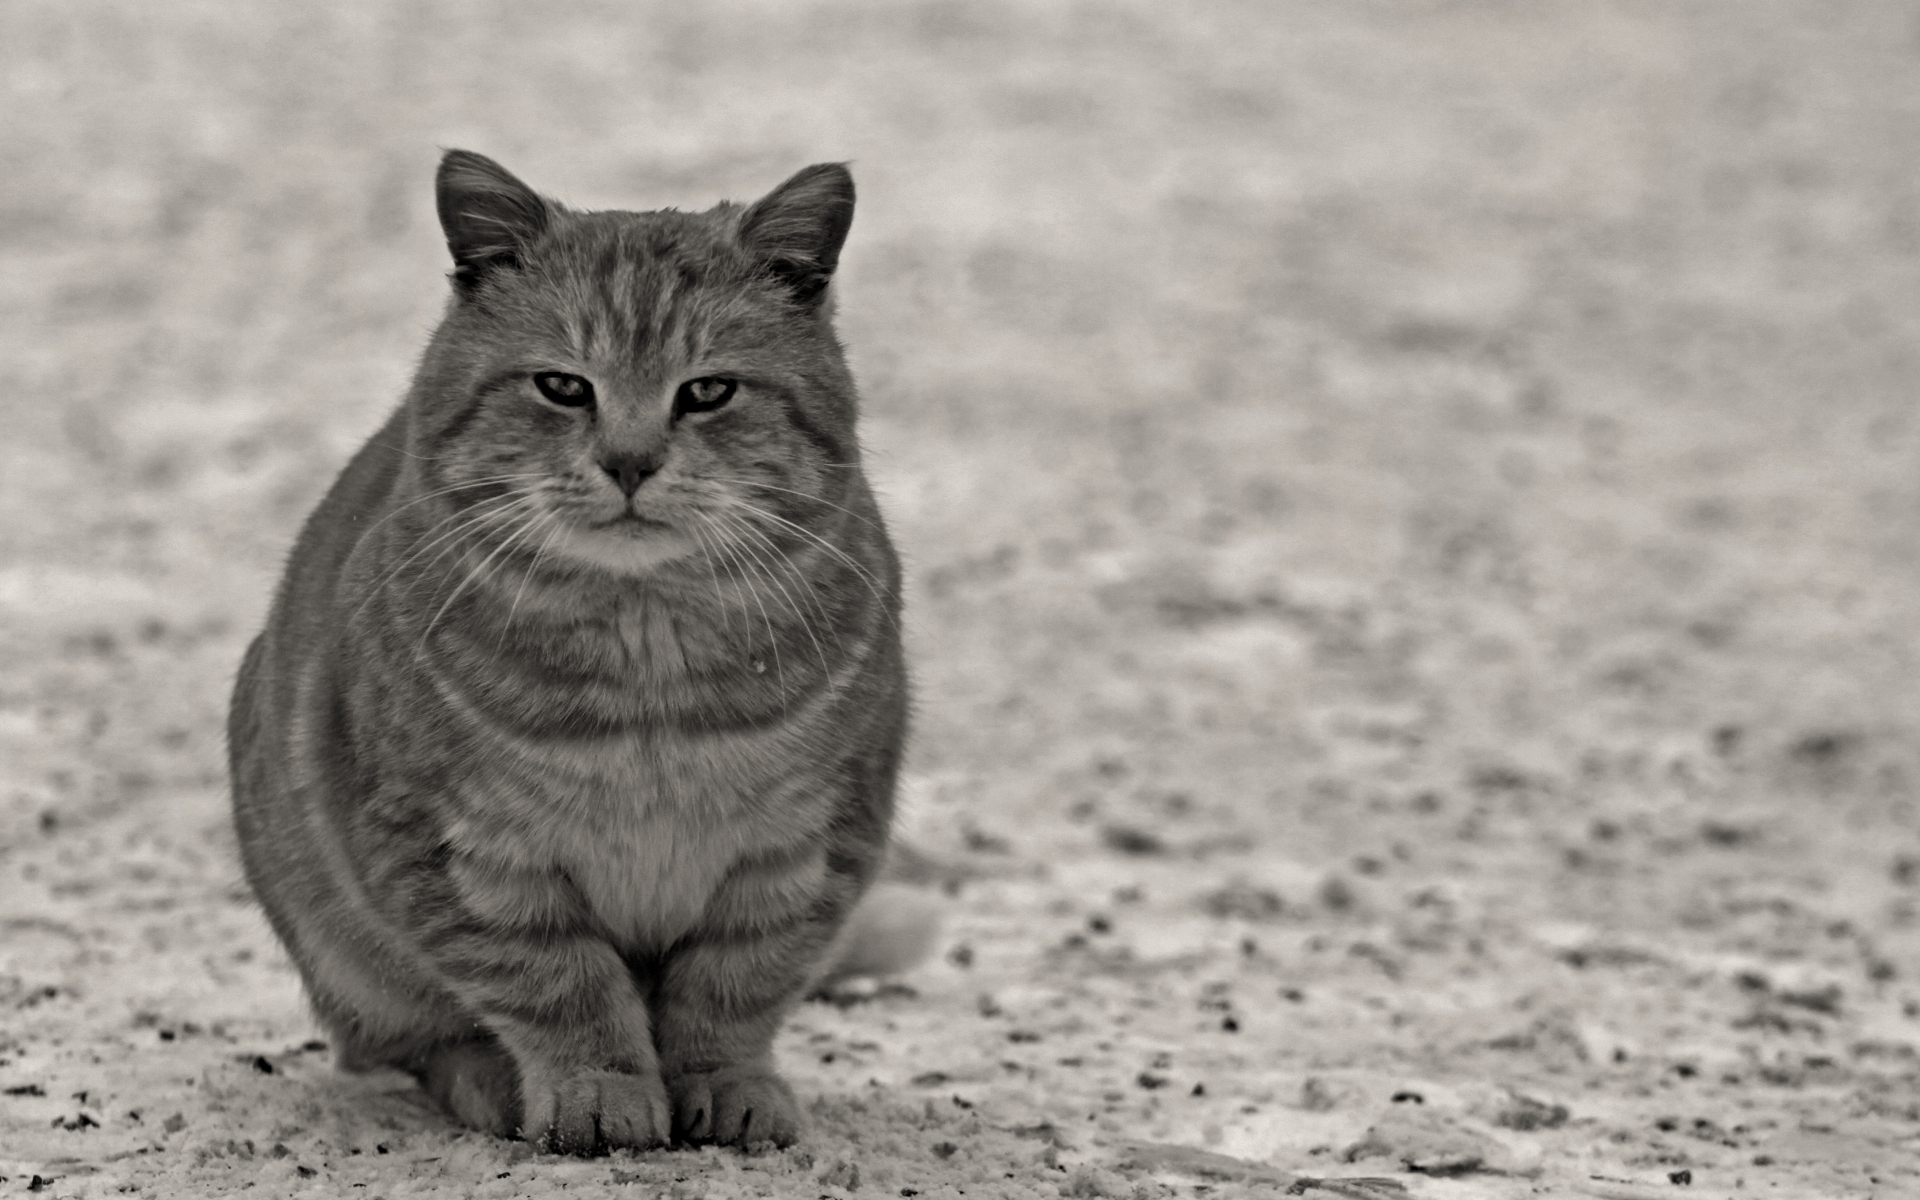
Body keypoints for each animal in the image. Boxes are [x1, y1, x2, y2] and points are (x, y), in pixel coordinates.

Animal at [230, 149, 921, 1152]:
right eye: (563, 387)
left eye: (707, 391)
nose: (629, 462)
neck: (650, 670)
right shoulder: (465, 855)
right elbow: (560, 986)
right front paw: (599, 1090)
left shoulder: (804, 849)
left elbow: (734, 989)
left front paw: (726, 1084)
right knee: (414, 1043)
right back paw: (490, 1083)